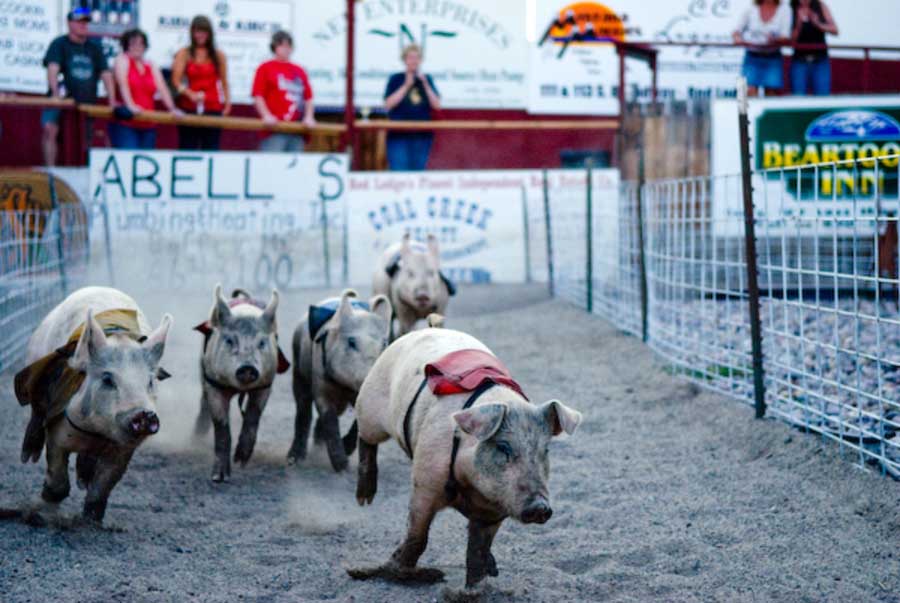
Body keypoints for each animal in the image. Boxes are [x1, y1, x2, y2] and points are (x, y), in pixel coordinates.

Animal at [284, 292, 390, 472]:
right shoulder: (320, 382)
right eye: (352, 342)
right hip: (298, 369)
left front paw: (346, 452)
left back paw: (317, 449)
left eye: (384, 343)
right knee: (303, 409)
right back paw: (294, 459)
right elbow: (329, 417)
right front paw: (342, 467)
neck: (345, 386)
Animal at [348, 324, 580, 588]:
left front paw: (473, 588)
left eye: (546, 450)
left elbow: (477, 551)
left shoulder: (493, 512)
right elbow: (418, 536)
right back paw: (364, 501)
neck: (469, 487)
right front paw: (408, 575)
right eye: (503, 447)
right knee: (365, 438)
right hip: (370, 404)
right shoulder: (425, 480)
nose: (540, 507)